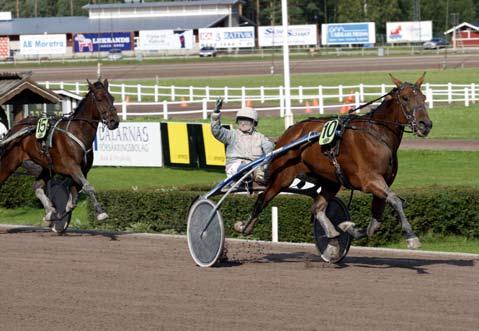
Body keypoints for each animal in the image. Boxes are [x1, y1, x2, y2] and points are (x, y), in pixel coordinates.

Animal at [0, 80, 119, 224]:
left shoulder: (82, 170)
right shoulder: (72, 166)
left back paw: (50, 211)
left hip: (46, 166)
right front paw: (100, 212)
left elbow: (73, 198)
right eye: (100, 99)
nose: (114, 121)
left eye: (112, 98)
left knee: (37, 186)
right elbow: (88, 187)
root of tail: (14, 128)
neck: (78, 132)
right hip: (9, 162)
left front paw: (59, 213)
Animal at [234, 74, 434, 264]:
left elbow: (375, 223)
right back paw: (245, 226)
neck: (377, 136)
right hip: (283, 176)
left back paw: (332, 237)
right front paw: (411, 237)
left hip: (331, 181)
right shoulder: (370, 181)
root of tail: (289, 132)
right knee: (263, 197)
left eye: (424, 97)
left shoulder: (383, 183)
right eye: (405, 98)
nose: (425, 124)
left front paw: (348, 228)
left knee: (317, 207)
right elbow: (395, 200)